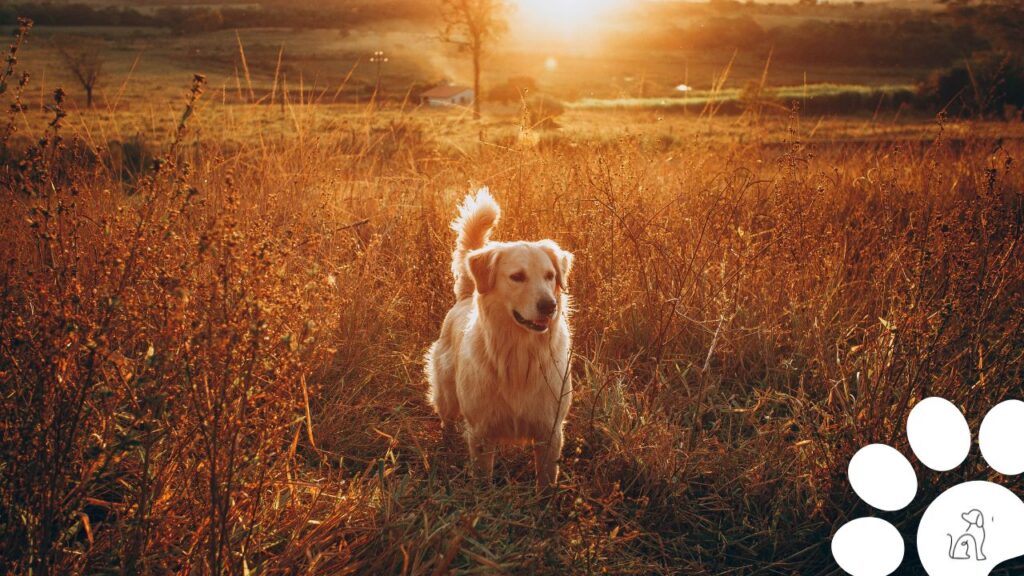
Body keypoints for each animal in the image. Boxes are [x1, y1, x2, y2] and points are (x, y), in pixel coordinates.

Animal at [421, 188, 573, 487]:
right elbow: (482, 478)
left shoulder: (550, 431)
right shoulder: (481, 431)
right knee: (447, 420)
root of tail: (466, 295)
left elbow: (546, 480)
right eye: (517, 277)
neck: (520, 353)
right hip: (447, 395)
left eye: (550, 276)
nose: (549, 306)